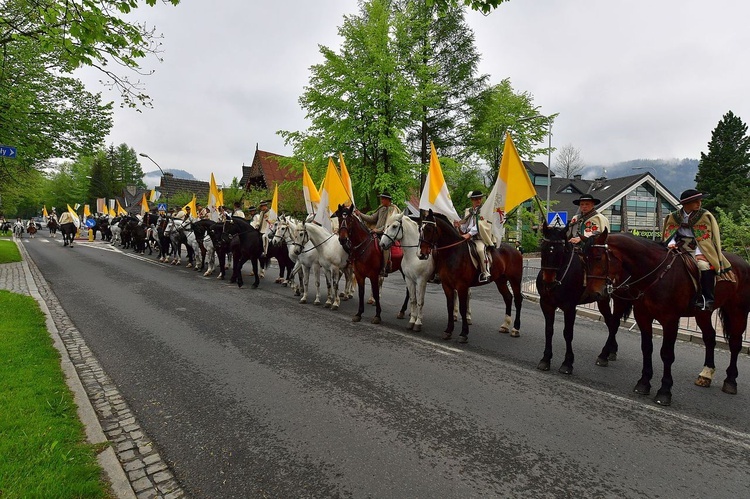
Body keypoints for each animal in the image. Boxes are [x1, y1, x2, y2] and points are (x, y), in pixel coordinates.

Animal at [420, 208, 524, 344]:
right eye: (420, 229)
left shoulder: (462, 286)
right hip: (500, 280)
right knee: (508, 297)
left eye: (429, 229)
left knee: (518, 300)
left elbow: (463, 308)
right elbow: (450, 306)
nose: (422, 254)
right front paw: (448, 331)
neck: (453, 253)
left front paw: (464, 333)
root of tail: (515, 250)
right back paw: (505, 325)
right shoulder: (447, 286)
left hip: (514, 280)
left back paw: (516, 329)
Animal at [536, 223, 632, 376]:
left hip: (619, 299)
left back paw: (604, 354)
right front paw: (545, 359)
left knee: (615, 323)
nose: (548, 282)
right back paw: (611, 350)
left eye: (560, 251)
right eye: (543, 248)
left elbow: (568, 333)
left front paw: (567, 363)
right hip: (602, 299)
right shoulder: (546, 304)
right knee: (610, 322)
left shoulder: (569, 307)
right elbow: (549, 330)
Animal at [584, 230, 750, 406]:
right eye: (585, 259)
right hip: (703, 313)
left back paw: (730, 381)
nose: (593, 293)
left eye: (598, 258)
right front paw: (643, 382)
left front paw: (664, 391)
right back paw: (706, 374)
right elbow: (646, 347)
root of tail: (743, 263)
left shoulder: (670, 320)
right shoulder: (642, 316)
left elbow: (667, 354)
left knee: (735, 343)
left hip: (738, 311)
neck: (655, 273)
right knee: (710, 337)